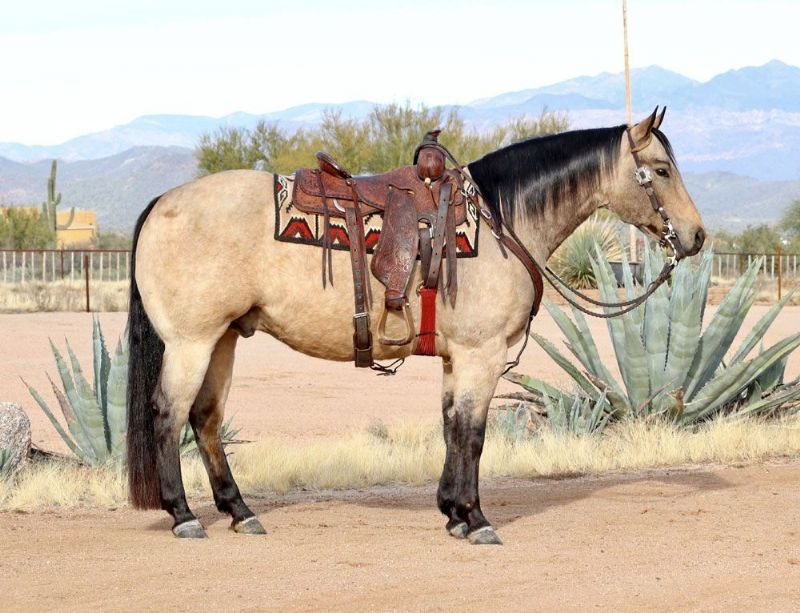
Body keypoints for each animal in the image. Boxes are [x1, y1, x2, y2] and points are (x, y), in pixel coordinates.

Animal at [126, 108, 705, 543]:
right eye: (660, 169)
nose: (697, 236)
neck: (501, 222)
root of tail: (164, 201)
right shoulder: (480, 354)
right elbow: (473, 434)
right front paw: (477, 519)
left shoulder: (457, 357)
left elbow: (451, 426)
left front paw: (452, 512)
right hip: (191, 342)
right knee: (167, 415)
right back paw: (184, 516)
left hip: (223, 339)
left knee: (204, 419)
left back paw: (240, 512)